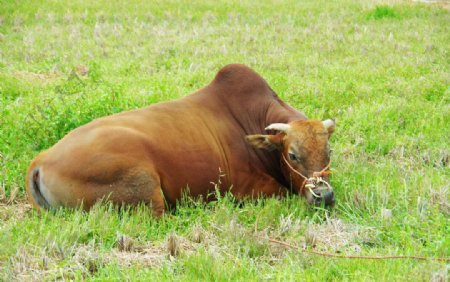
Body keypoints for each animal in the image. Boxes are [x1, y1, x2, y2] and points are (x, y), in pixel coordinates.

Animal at [24, 64, 334, 215]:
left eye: (328, 152)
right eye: (292, 155)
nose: (325, 196)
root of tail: (41, 160)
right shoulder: (248, 190)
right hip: (146, 189)